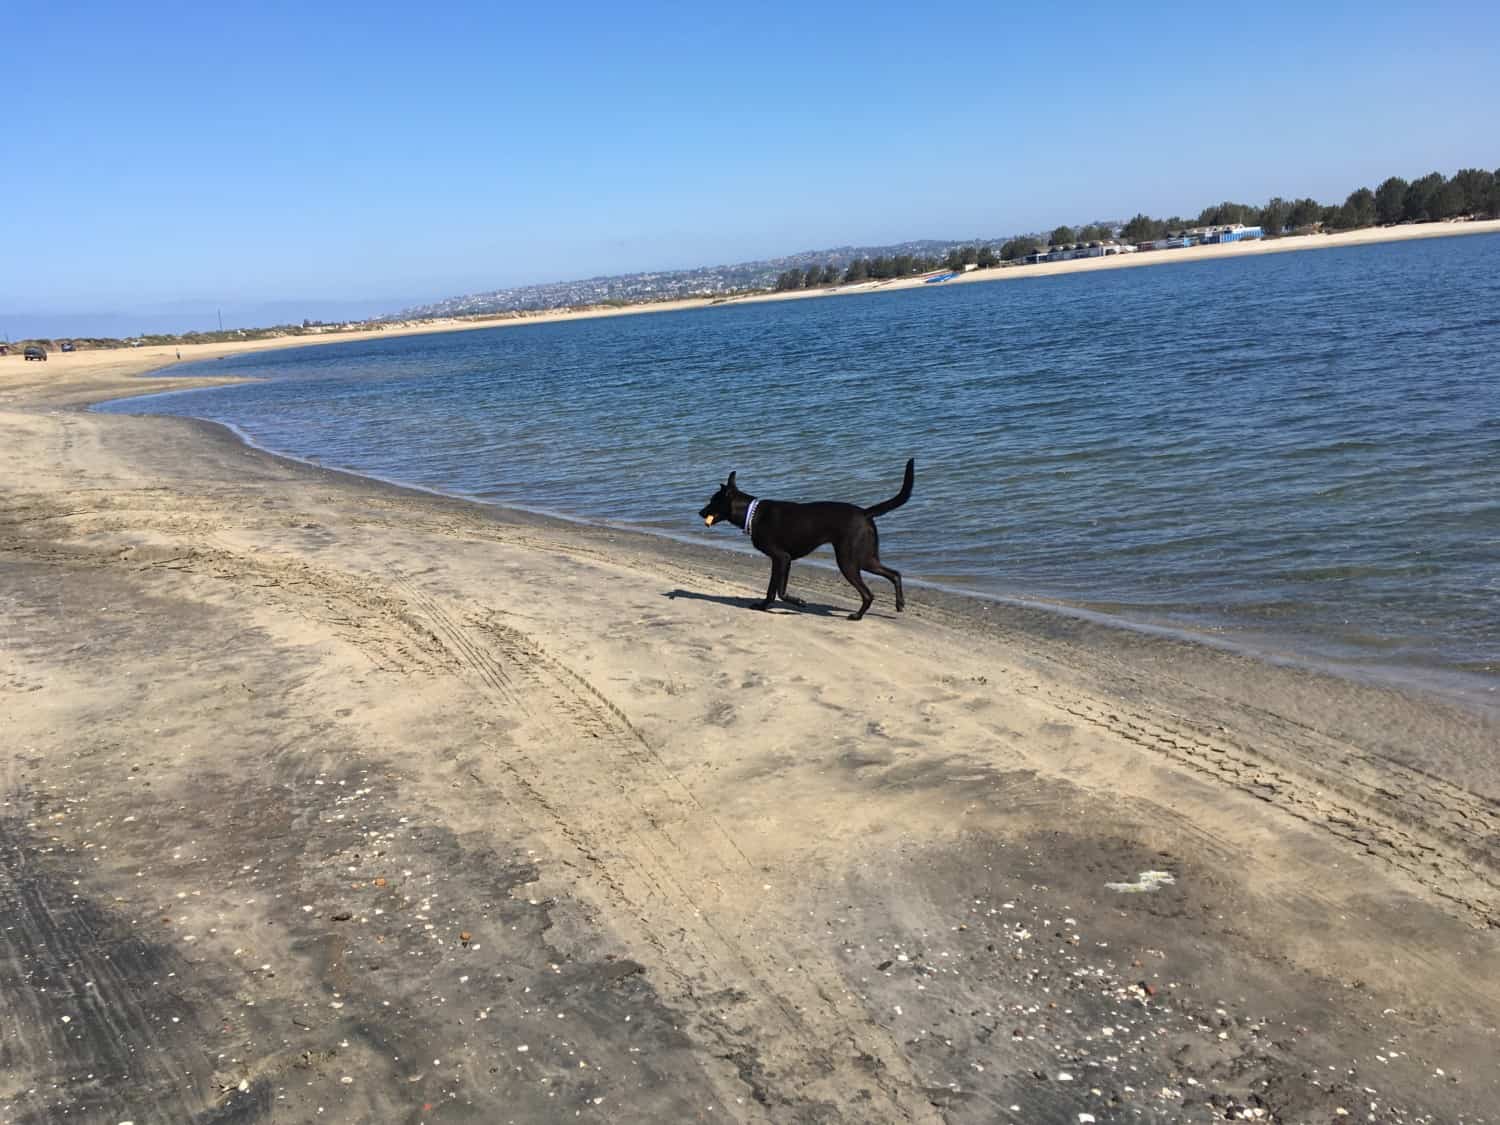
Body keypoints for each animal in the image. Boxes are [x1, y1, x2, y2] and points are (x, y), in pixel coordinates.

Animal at [693, 459, 912, 621]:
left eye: (713, 501)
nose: (700, 512)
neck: (752, 514)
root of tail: (865, 513)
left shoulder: (782, 558)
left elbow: (779, 591)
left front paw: (798, 602)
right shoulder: (781, 561)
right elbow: (772, 590)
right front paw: (763, 606)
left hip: (848, 560)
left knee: (869, 593)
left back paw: (857, 616)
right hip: (865, 557)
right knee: (895, 574)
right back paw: (899, 604)